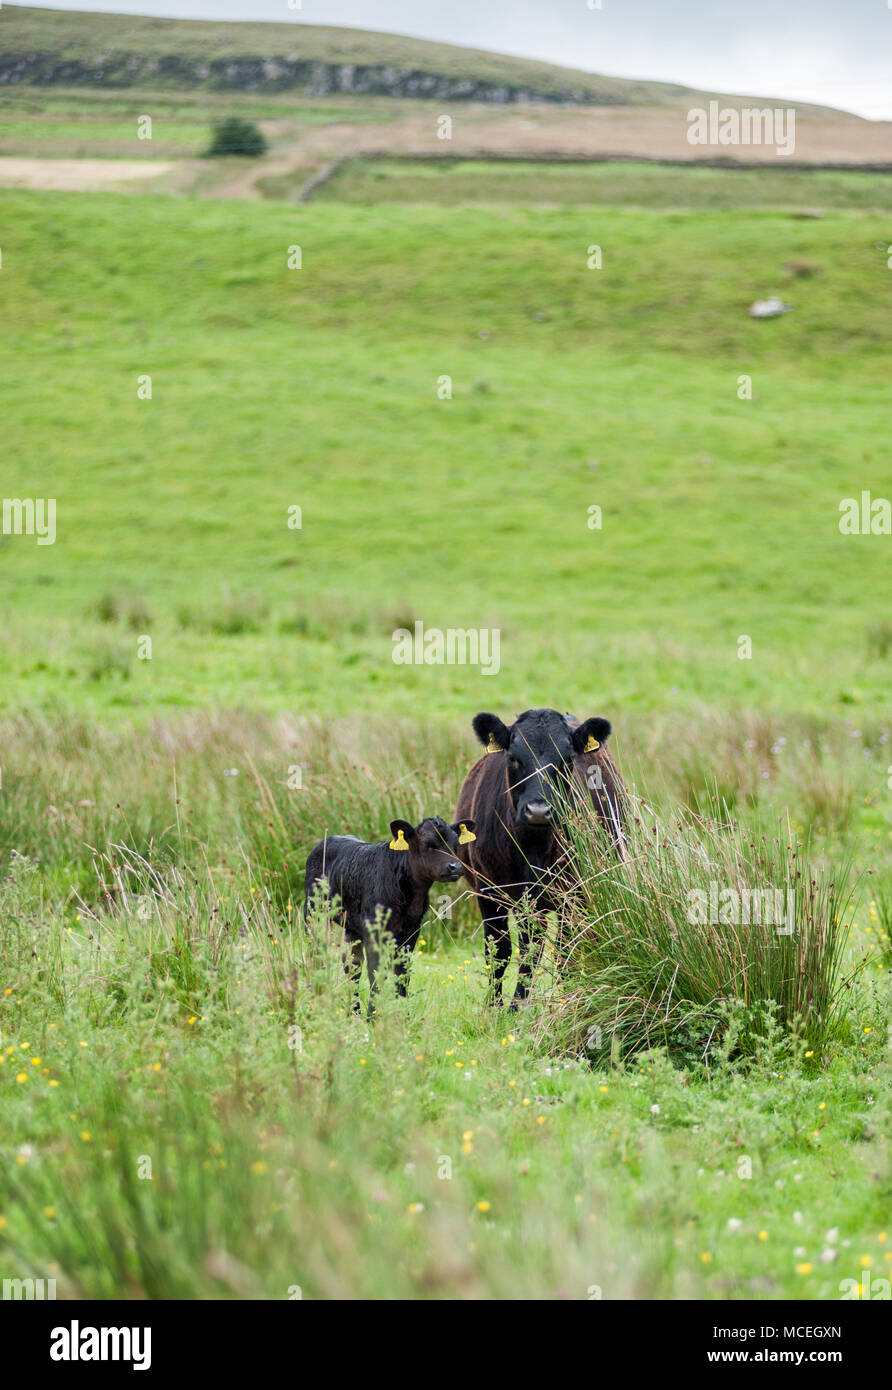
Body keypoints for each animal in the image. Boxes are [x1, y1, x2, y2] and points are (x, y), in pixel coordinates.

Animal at [304, 811, 472, 1011]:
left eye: (455, 845)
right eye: (428, 844)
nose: (456, 867)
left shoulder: (411, 931)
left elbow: (402, 974)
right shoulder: (374, 931)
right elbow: (376, 972)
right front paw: (373, 1014)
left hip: (351, 926)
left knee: (352, 966)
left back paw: (354, 1010)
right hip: (314, 916)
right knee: (315, 956)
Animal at [455, 711, 622, 1006]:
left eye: (567, 760)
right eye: (513, 758)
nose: (538, 810)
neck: (532, 847)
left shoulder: (571, 893)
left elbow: (556, 952)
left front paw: (526, 1005)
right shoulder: (488, 890)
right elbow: (499, 952)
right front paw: (496, 1006)